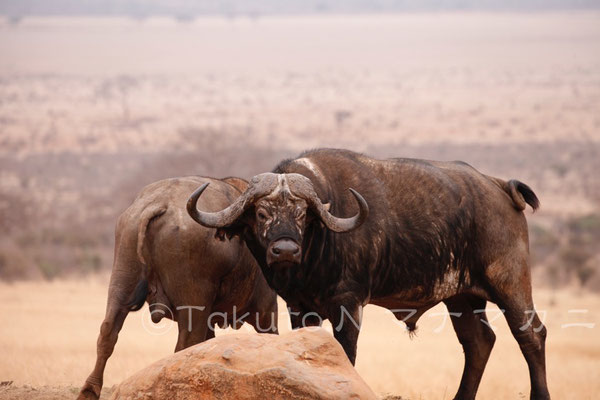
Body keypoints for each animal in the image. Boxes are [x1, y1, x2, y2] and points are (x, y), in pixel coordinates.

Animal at [77, 177, 278, 400]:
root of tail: (157, 203)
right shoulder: (266, 309)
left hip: (121, 283)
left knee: (107, 333)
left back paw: (89, 390)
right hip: (194, 306)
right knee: (185, 345)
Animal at [186, 148, 548, 398]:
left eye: (302, 214)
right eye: (261, 213)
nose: (285, 250)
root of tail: (499, 186)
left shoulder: (349, 304)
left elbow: (345, 355)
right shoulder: (299, 308)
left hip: (510, 283)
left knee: (531, 335)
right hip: (462, 298)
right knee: (479, 342)